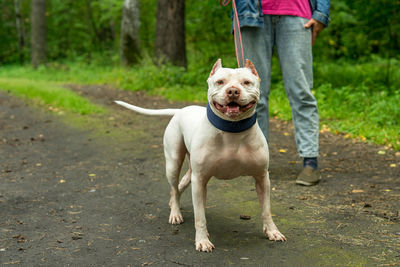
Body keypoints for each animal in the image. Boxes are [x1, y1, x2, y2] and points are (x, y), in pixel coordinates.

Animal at [114, 59, 286, 253]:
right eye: (220, 82)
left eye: (246, 82)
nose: (233, 91)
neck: (232, 130)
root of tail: (181, 110)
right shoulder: (199, 179)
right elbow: (199, 217)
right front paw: (202, 240)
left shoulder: (262, 178)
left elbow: (266, 210)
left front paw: (272, 231)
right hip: (173, 164)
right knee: (175, 187)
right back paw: (175, 213)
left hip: (193, 173)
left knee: (181, 186)